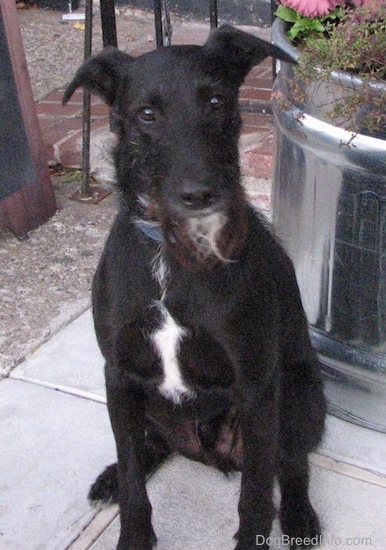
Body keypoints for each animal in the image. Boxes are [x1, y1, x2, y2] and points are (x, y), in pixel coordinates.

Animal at [63, 25, 326, 550]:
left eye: (216, 100)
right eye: (146, 114)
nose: (199, 194)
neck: (177, 252)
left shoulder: (256, 388)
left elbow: (255, 500)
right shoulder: (118, 374)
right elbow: (134, 481)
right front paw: (133, 532)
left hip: (301, 395)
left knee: (292, 466)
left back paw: (300, 516)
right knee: (149, 449)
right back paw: (110, 478)